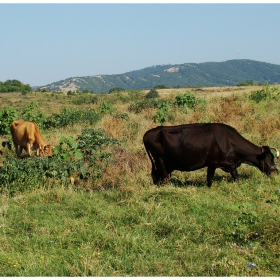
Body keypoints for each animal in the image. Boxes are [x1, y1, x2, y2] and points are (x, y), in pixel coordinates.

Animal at [143, 123, 278, 187]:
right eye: (269, 158)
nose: (276, 172)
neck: (229, 141)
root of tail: (147, 133)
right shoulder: (212, 163)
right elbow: (210, 179)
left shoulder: (231, 165)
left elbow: (236, 177)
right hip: (160, 161)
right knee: (164, 177)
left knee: (156, 176)